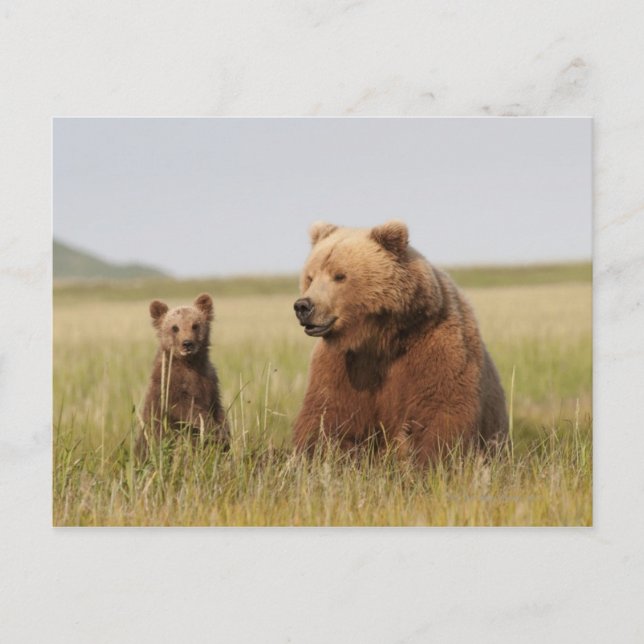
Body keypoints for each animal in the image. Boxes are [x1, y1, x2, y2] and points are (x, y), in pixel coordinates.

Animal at [136, 293, 229, 458]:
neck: (189, 363)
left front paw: (224, 435)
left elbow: (217, 407)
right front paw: (214, 430)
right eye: (175, 327)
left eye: (195, 325)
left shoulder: (210, 379)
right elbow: (183, 407)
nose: (187, 343)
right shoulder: (169, 382)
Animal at [292, 220, 508, 463]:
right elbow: (327, 413)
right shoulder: (342, 363)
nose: (303, 306)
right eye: (310, 277)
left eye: (339, 276)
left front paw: (432, 461)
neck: (381, 339)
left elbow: (440, 408)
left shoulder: (435, 346)